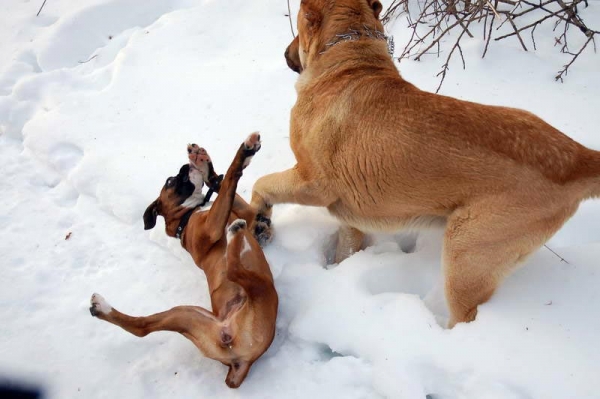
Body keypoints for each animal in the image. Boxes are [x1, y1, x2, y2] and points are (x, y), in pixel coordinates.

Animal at [90, 134, 278, 388]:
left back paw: (100, 308)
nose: (183, 167)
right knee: (233, 269)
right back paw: (234, 235)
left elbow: (222, 186)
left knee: (142, 327)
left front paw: (204, 163)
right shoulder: (212, 227)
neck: (187, 216)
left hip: (185, 316)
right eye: (170, 181)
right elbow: (230, 178)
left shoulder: (247, 214)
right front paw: (244, 152)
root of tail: (240, 361)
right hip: (262, 288)